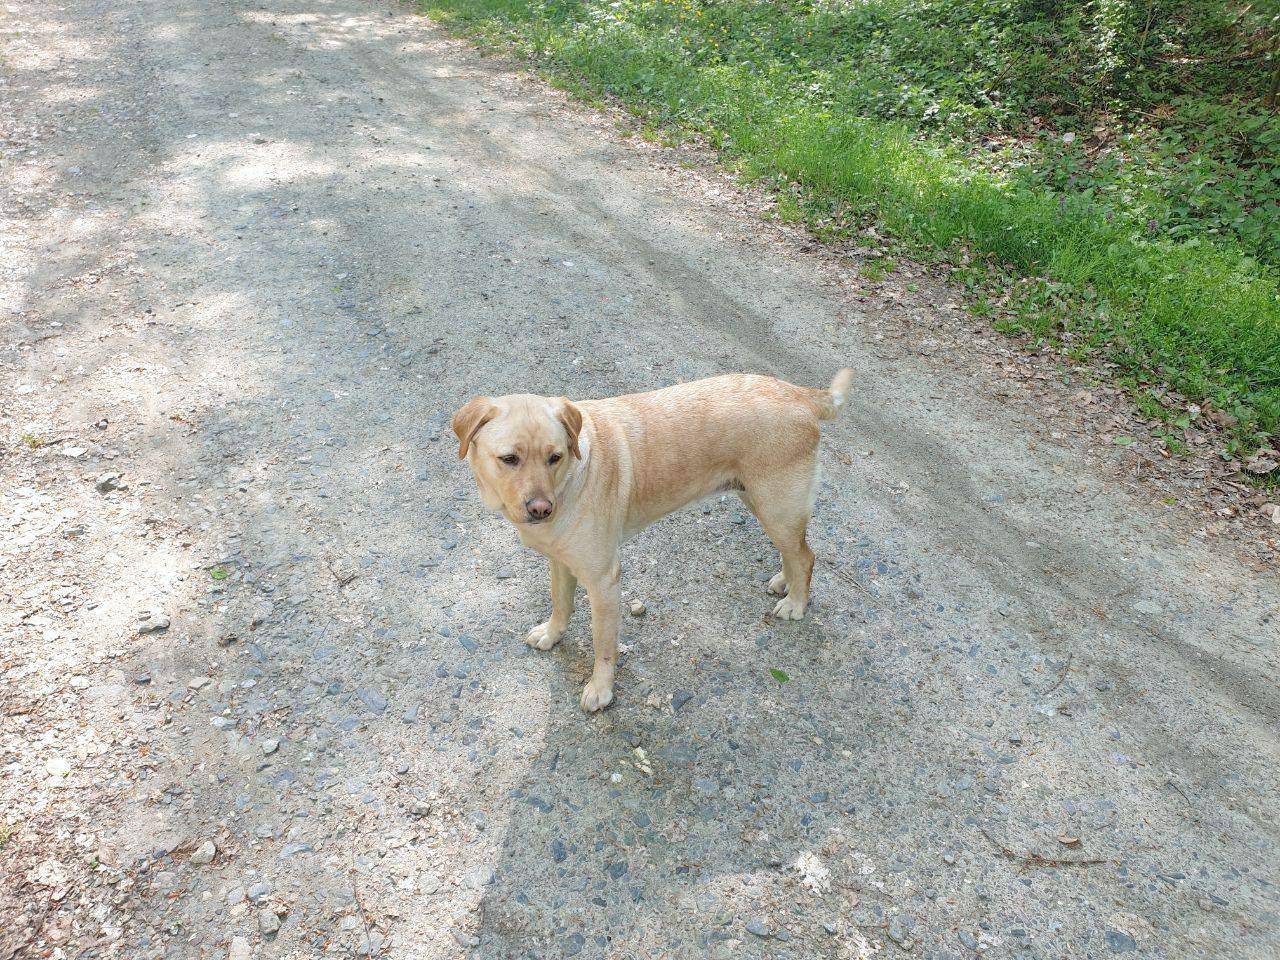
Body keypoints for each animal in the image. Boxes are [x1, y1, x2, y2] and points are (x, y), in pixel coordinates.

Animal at [455, 371, 855, 711]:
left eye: (555, 457)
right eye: (509, 458)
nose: (541, 509)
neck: (569, 479)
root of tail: (800, 393)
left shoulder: (603, 581)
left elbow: (604, 645)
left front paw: (601, 689)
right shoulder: (561, 562)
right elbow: (561, 605)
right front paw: (553, 635)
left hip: (776, 508)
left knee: (806, 556)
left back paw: (796, 603)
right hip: (761, 503)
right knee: (795, 551)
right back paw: (785, 582)